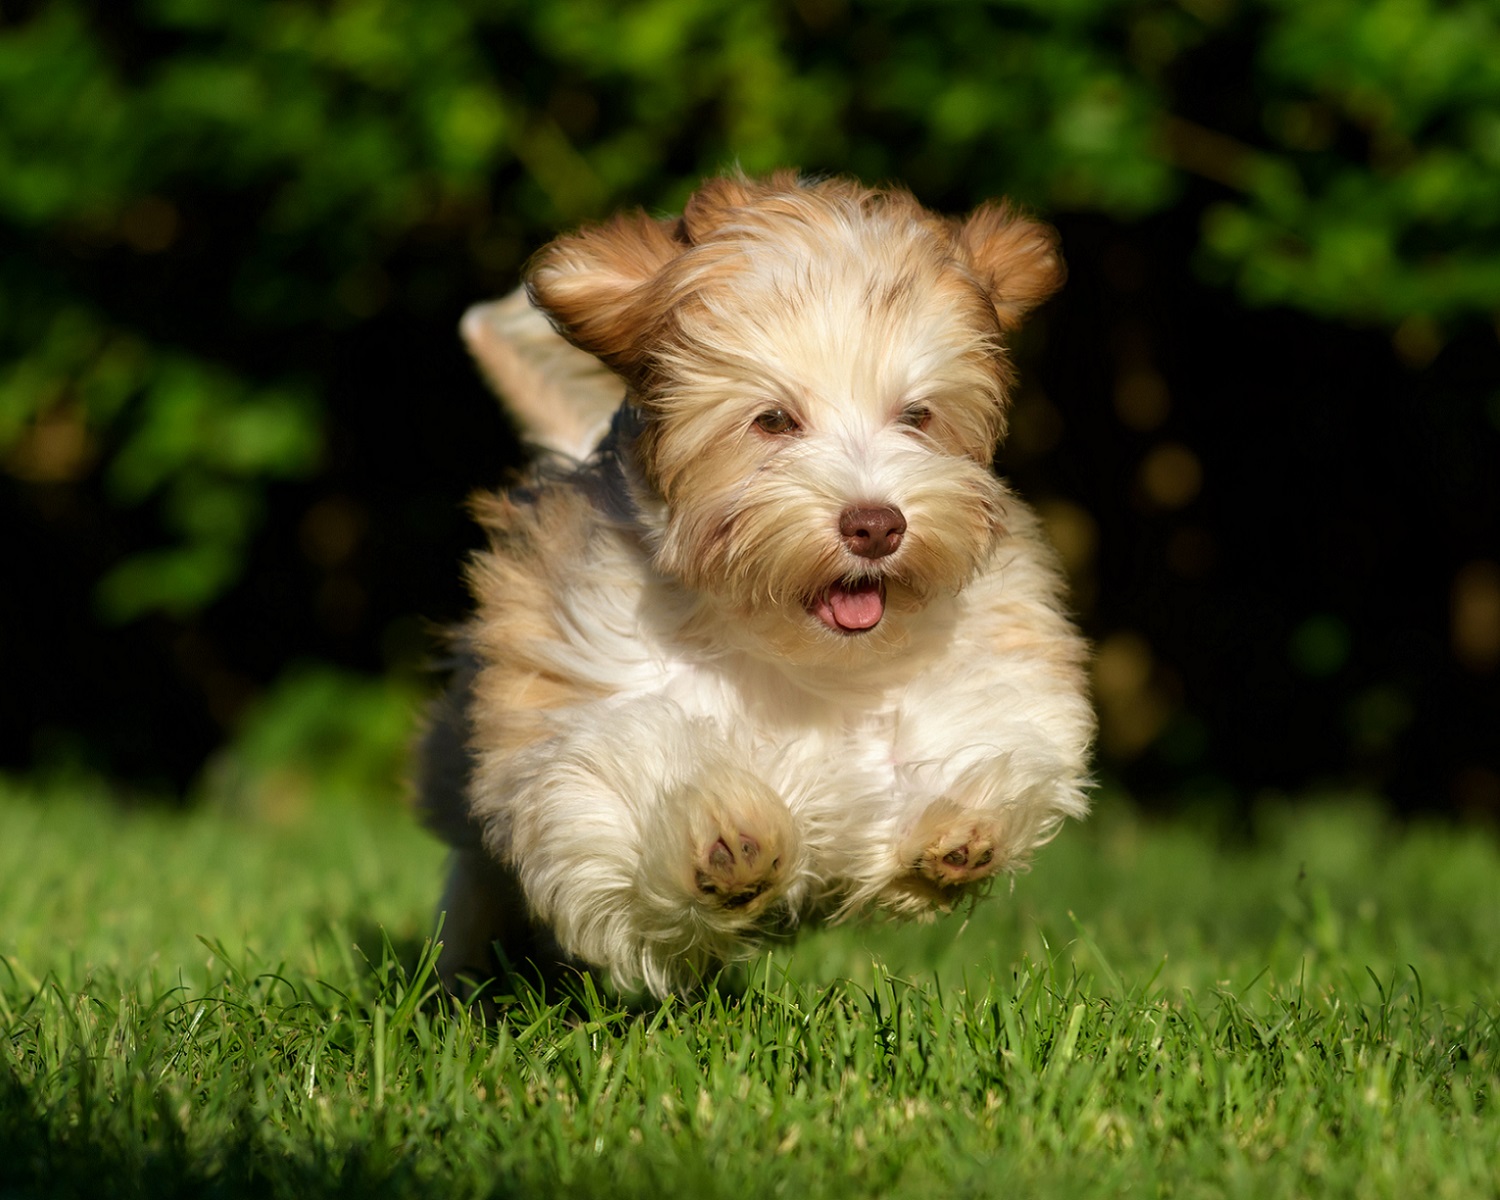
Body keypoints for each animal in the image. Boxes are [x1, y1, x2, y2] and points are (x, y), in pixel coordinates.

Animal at [417, 166, 1098, 996]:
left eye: (917, 415)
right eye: (773, 420)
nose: (876, 524)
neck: (796, 652)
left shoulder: (981, 660)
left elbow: (970, 734)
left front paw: (955, 831)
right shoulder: (588, 696)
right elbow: (627, 770)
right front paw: (726, 841)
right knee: (478, 883)